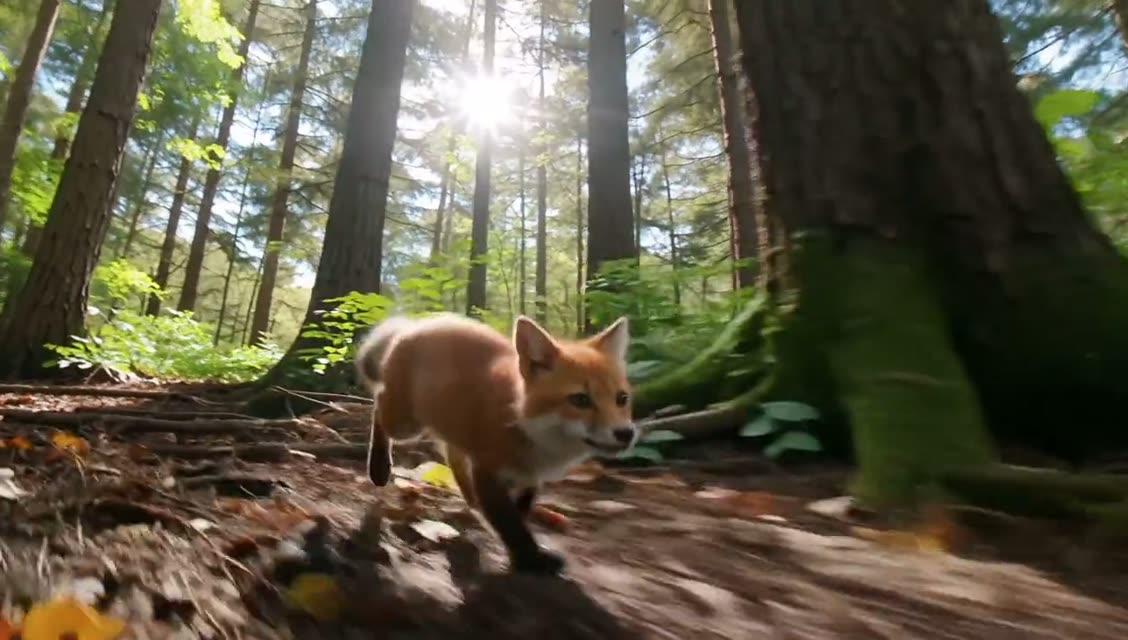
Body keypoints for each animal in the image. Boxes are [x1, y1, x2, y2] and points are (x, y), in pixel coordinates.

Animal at [354, 312, 637, 575]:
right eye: (580, 399)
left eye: (622, 399)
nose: (626, 433)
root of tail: (417, 323)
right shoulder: (487, 471)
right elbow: (510, 523)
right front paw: (530, 559)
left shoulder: (529, 478)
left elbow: (519, 512)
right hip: (405, 424)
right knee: (378, 404)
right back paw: (379, 467)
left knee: (452, 453)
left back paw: (471, 502)